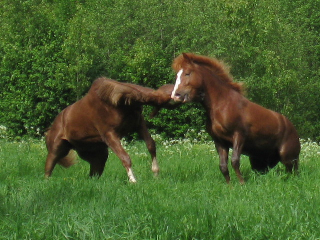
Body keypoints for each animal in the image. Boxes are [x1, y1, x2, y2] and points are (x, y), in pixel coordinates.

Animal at [45, 77, 175, 182]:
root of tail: (51, 128)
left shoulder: (139, 125)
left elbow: (151, 145)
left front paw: (156, 174)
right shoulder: (109, 134)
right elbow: (125, 157)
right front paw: (133, 181)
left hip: (97, 155)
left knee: (93, 175)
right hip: (56, 150)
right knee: (48, 169)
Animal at [172, 53, 300, 184]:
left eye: (187, 73)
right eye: (177, 75)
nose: (175, 95)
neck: (222, 104)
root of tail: (292, 128)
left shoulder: (239, 135)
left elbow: (234, 161)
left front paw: (242, 183)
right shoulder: (219, 141)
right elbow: (223, 166)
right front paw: (230, 186)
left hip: (288, 158)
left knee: (293, 173)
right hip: (260, 161)